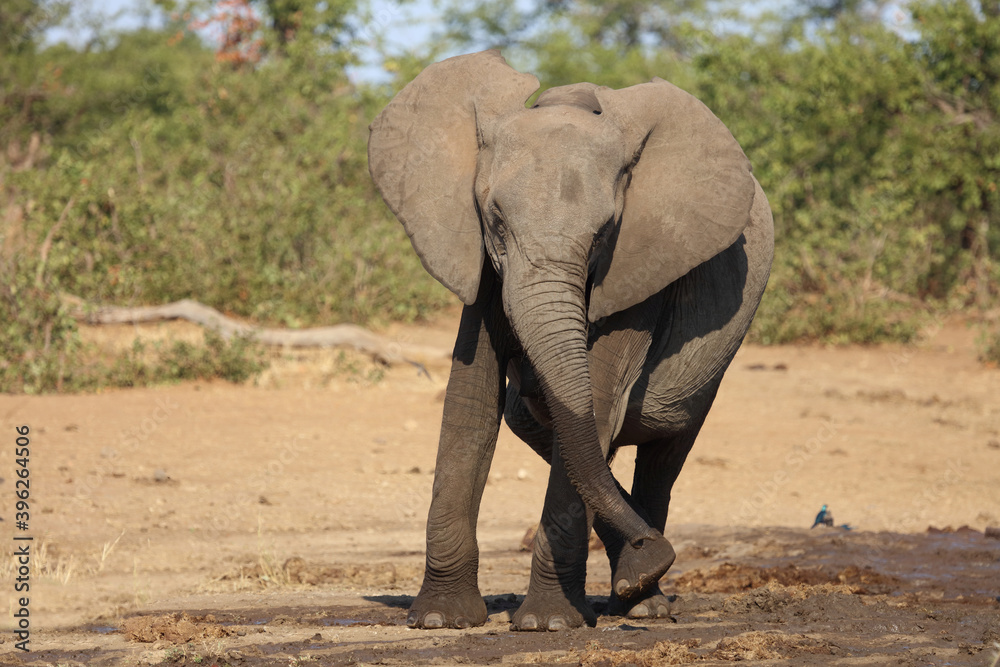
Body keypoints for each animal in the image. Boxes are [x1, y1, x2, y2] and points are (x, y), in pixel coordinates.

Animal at [367, 50, 773, 631]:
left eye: (604, 232)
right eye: (495, 220)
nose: (655, 549)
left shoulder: (638, 267)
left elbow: (595, 402)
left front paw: (548, 623)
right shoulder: (480, 265)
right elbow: (470, 402)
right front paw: (441, 619)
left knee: (662, 455)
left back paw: (643, 597)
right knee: (534, 421)